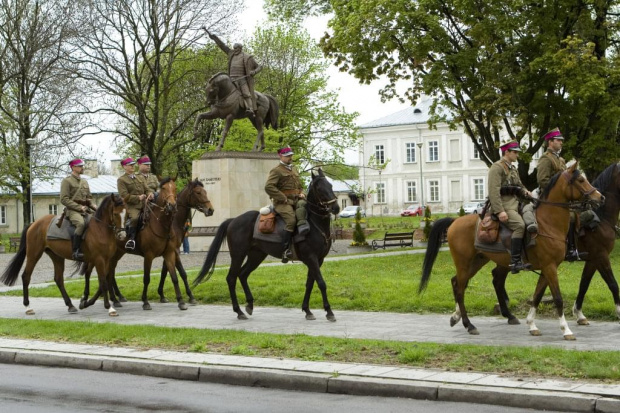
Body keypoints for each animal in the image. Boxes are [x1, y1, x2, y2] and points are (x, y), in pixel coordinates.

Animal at [193, 167, 340, 318]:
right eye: (319, 188)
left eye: (330, 186)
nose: (336, 208)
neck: (314, 223)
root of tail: (233, 220)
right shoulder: (311, 258)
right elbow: (321, 283)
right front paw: (329, 311)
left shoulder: (318, 260)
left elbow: (310, 283)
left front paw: (307, 310)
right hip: (238, 255)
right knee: (231, 278)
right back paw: (239, 311)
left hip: (256, 255)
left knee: (243, 274)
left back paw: (249, 305)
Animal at [418, 163, 604, 340]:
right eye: (581, 180)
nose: (600, 197)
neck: (547, 223)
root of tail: (455, 222)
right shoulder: (550, 267)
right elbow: (558, 299)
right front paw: (566, 330)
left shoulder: (547, 268)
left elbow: (537, 296)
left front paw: (532, 325)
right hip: (464, 263)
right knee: (460, 288)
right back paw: (469, 325)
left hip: (477, 261)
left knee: (458, 283)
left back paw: (458, 317)